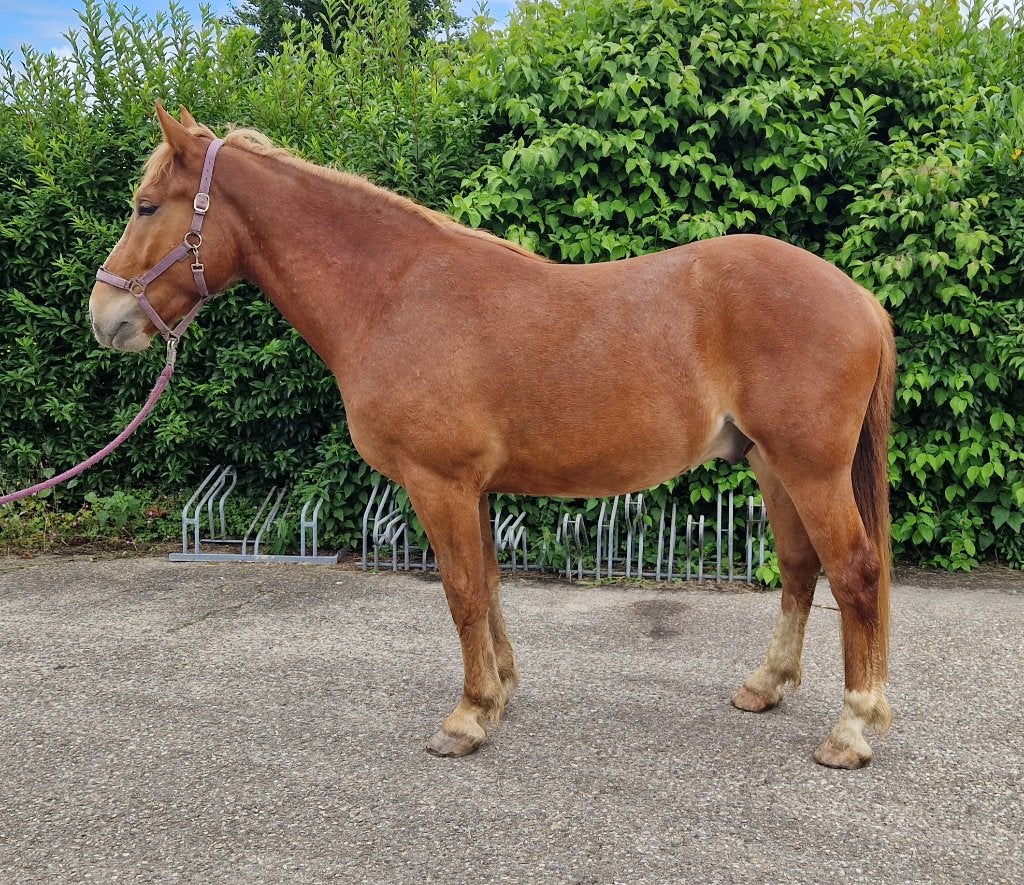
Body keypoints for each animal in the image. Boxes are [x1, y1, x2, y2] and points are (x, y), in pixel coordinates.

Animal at [90, 103, 896, 769]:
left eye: (146, 206)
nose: (104, 317)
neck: (392, 294)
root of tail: (858, 295)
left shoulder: (438, 482)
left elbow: (461, 590)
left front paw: (468, 718)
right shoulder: (471, 488)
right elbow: (490, 583)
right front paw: (500, 692)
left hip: (809, 468)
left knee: (854, 570)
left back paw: (852, 728)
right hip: (772, 465)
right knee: (800, 567)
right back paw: (767, 685)